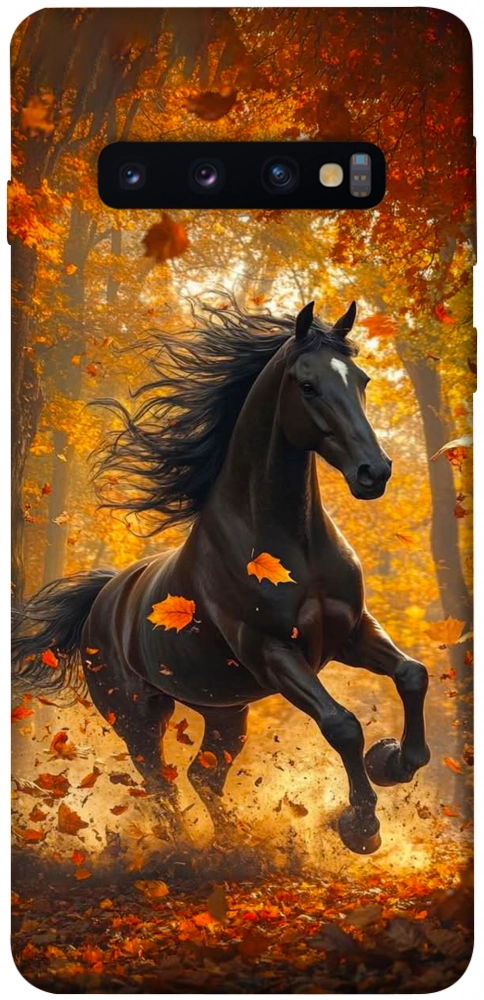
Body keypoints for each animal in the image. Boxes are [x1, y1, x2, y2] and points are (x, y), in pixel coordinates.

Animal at [13, 297, 430, 855]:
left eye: (360, 379)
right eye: (308, 385)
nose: (374, 472)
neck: (293, 544)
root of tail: (103, 598)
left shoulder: (352, 632)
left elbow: (412, 674)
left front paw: (393, 761)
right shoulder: (271, 651)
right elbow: (341, 724)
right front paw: (362, 826)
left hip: (225, 711)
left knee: (202, 777)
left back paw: (238, 844)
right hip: (137, 715)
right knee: (161, 783)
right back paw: (191, 852)